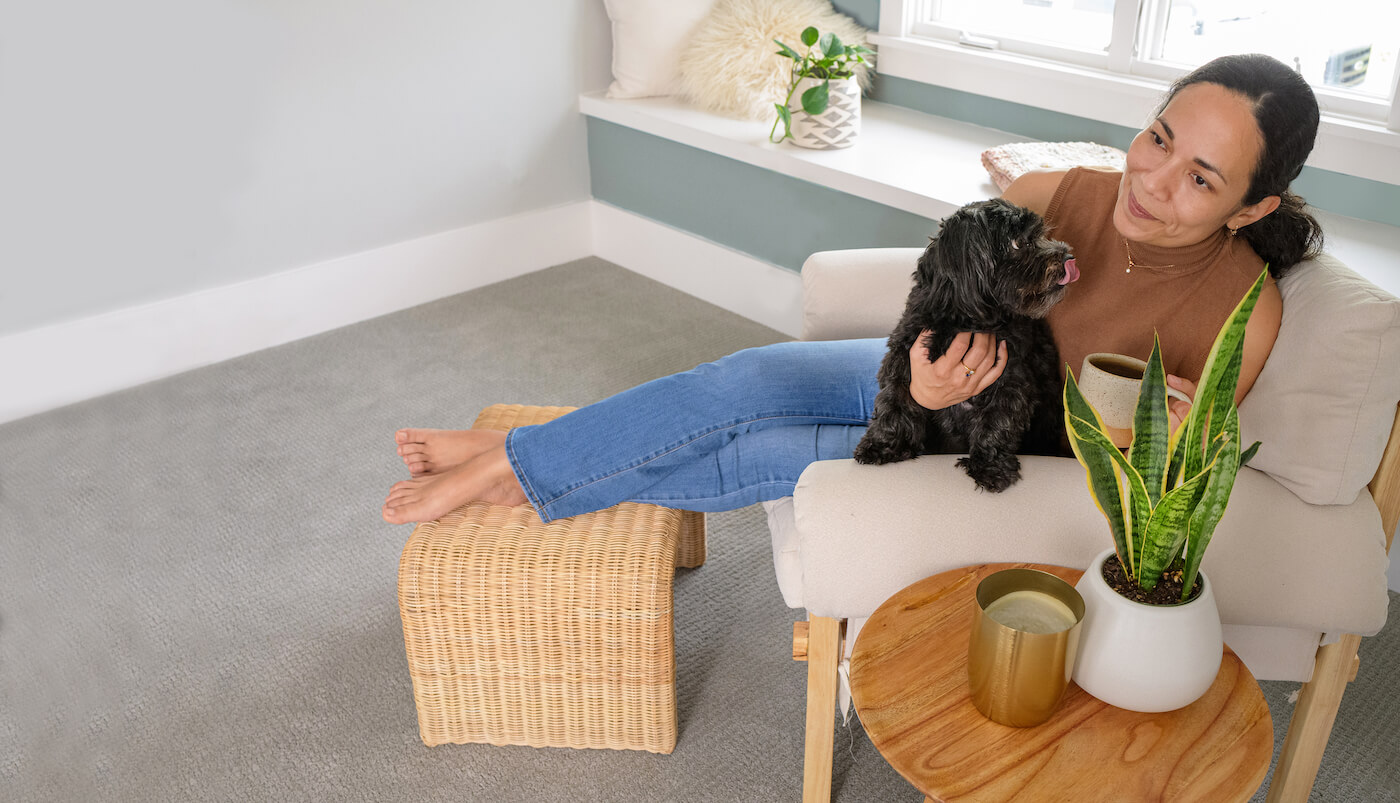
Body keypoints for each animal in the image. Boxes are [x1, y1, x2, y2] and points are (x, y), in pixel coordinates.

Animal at [851, 198, 1069, 495]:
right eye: (1018, 243)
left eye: (1038, 235)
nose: (1067, 256)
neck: (966, 321)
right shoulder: (903, 356)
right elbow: (894, 400)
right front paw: (882, 445)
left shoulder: (1012, 381)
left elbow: (997, 423)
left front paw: (990, 467)